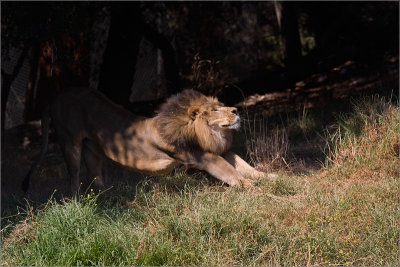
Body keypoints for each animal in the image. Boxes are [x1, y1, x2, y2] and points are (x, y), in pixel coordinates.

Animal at [21, 88, 272, 193]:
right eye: (216, 110)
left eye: (222, 105)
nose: (236, 110)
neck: (206, 133)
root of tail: (54, 97)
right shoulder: (203, 157)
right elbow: (231, 172)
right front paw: (249, 186)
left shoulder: (218, 150)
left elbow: (243, 164)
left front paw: (269, 176)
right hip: (69, 141)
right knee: (73, 176)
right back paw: (77, 200)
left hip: (92, 149)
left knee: (95, 175)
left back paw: (107, 196)